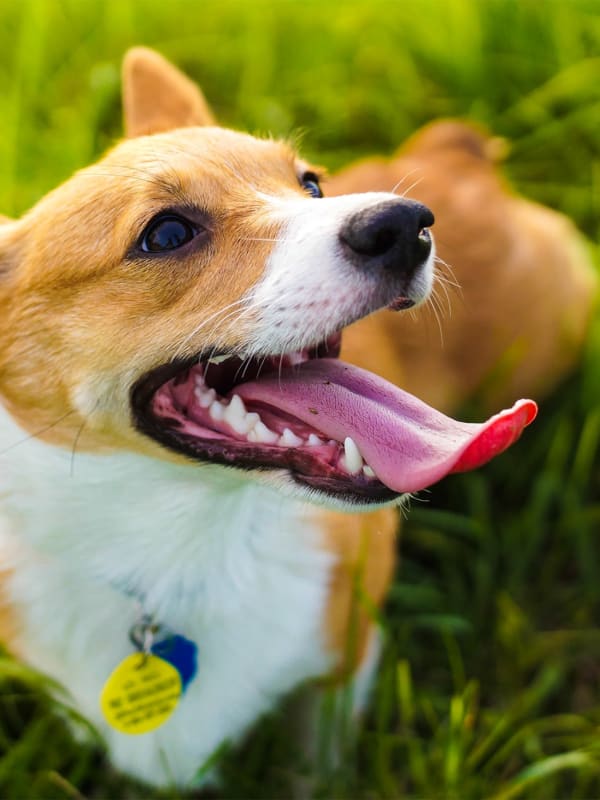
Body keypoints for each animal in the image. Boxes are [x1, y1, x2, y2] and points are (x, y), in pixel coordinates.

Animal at [0, 45, 536, 788]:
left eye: (311, 185)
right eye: (167, 232)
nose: (407, 223)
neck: (187, 549)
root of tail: (455, 154)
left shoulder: (345, 654)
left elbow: (316, 759)